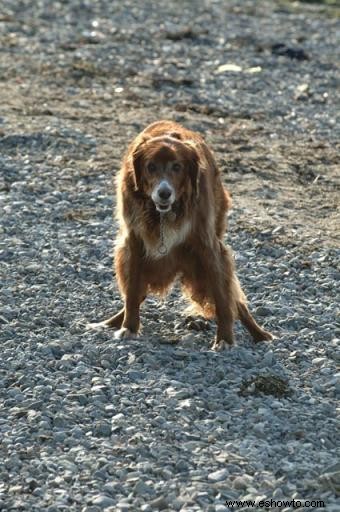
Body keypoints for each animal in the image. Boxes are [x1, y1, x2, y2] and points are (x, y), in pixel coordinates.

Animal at [93, 121, 274, 352]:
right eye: (150, 166)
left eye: (177, 167)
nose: (164, 193)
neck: (163, 214)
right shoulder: (134, 242)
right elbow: (132, 291)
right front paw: (129, 328)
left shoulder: (208, 246)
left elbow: (223, 298)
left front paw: (224, 339)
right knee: (137, 293)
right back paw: (112, 322)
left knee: (235, 298)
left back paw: (260, 334)